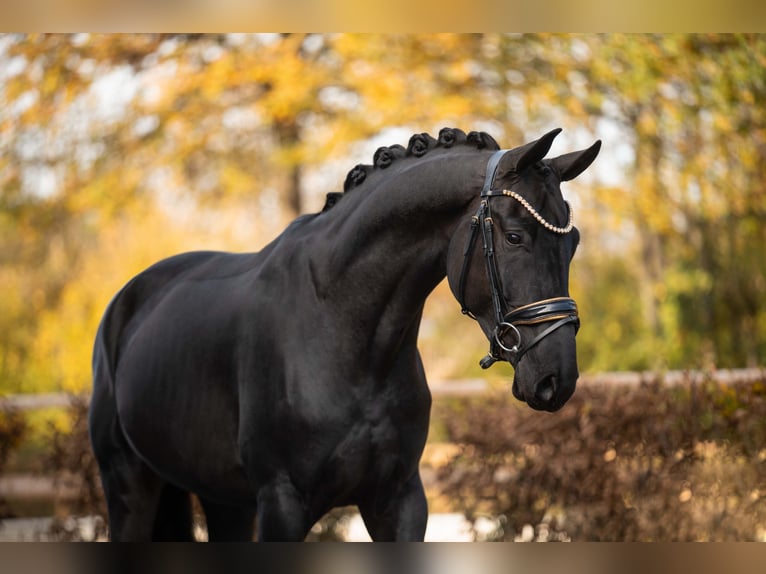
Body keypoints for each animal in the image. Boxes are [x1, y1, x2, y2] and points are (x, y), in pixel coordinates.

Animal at [90, 128, 604, 544]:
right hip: (128, 485)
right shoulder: (282, 504)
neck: (345, 332)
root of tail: (125, 302)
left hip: (221, 499)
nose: (556, 378)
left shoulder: (397, 500)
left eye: (573, 242)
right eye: (515, 236)